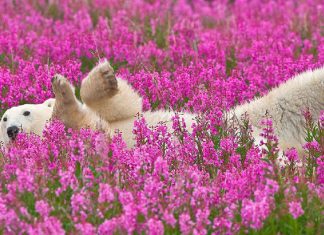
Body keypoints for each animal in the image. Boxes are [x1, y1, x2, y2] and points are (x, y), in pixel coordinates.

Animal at [0, 60, 322, 152]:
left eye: (24, 111)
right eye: (4, 120)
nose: (13, 130)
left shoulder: (119, 119)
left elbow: (125, 106)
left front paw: (104, 77)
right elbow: (82, 125)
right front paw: (64, 95)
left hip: (254, 115)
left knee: (299, 91)